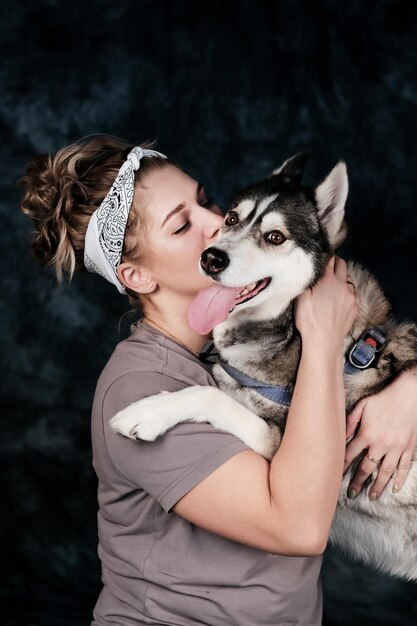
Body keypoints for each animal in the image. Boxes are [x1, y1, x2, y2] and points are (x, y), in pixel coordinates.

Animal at [110, 155, 416, 580]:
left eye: (275, 237)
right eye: (231, 218)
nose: (211, 257)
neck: (289, 331)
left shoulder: (281, 449)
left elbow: (209, 395)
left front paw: (149, 412)